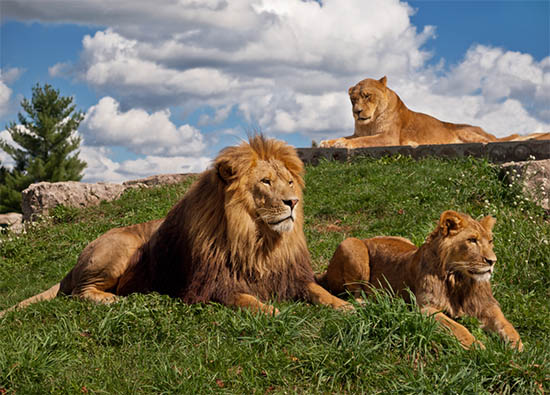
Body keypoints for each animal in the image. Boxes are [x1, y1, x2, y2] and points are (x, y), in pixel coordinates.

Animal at [2, 136, 352, 318]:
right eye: (266, 181)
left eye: (290, 181)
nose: (292, 202)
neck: (259, 241)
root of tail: (74, 263)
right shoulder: (213, 287)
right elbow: (247, 300)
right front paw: (276, 312)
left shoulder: (292, 276)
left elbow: (319, 291)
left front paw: (348, 305)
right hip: (120, 247)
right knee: (79, 292)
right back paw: (114, 300)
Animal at [316, 212, 524, 352]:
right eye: (472, 240)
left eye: (490, 241)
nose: (492, 261)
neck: (459, 280)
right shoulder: (425, 309)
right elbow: (459, 328)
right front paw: (479, 347)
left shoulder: (487, 306)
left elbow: (506, 324)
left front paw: (518, 347)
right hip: (351, 244)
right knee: (353, 294)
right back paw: (368, 303)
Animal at [322, 76, 548, 148]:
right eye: (353, 100)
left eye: (367, 96)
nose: (357, 112)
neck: (369, 122)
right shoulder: (358, 132)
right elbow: (349, 136)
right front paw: (328, 142)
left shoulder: (389, 137)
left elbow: (362, 141)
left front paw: (342, 144)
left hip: (467, 131)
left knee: (494, 142)